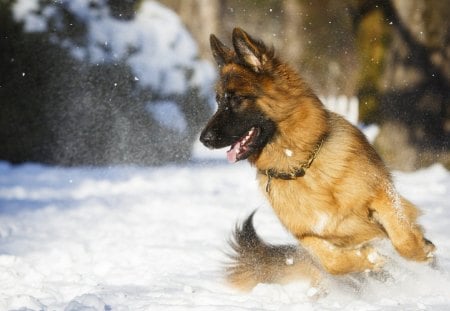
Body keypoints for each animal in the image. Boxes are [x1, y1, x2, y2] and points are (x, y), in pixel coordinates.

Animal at [199, 27, 434, 292]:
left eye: (236, 99)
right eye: (218, 100)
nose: (204, 139)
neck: (300, 167)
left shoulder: (381, 194)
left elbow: (403, 236)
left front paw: (421, 251)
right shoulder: (307, 235)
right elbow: (334, 262)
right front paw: (369, 258)